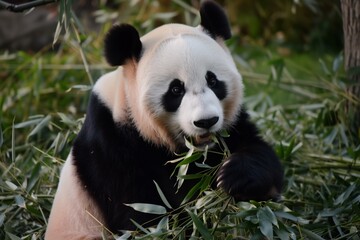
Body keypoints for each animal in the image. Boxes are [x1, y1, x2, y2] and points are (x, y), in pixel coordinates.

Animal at [45, 0, 282, 239]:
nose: (206, 121)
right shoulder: (112, 147)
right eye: (176, 89)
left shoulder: (231, 127)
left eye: (213, 81)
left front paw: (235, 176)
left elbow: (258, 154)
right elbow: (145, 214)